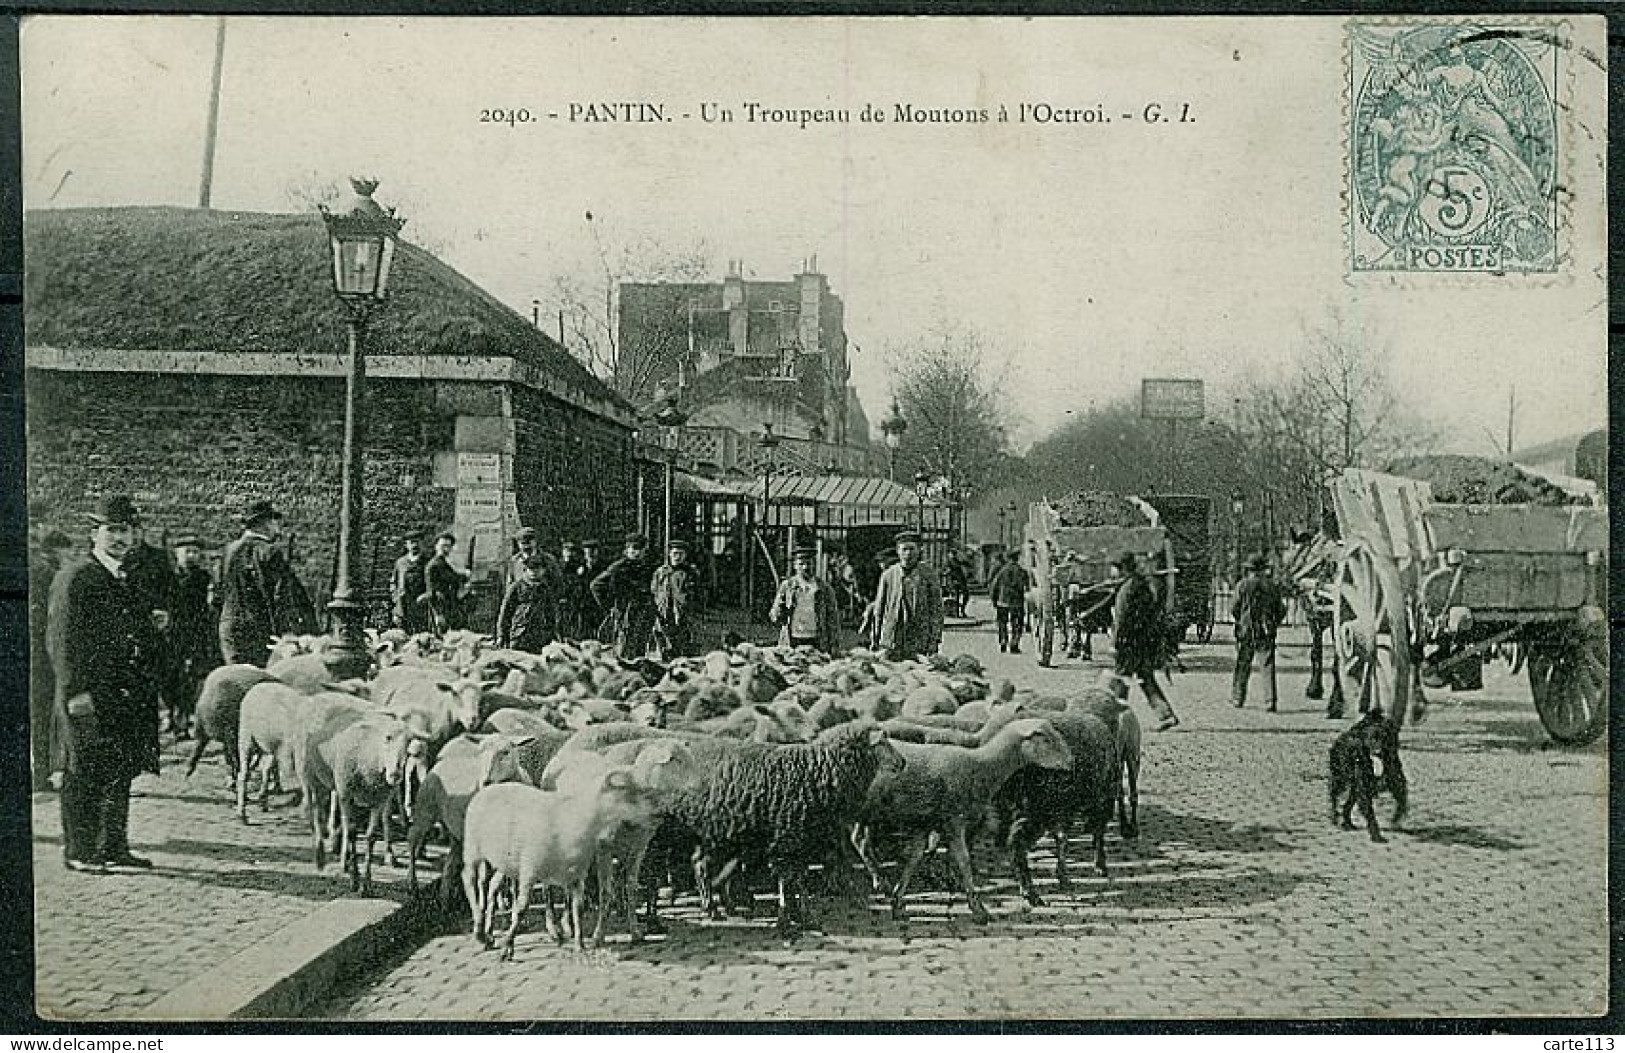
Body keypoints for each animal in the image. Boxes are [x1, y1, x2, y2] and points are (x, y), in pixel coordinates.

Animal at [1332, 711, 1410, 845]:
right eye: (1372, 739)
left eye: (1385, 738)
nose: (1378, 751)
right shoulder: (1363, 785)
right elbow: (1369, 811)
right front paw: (1376, 835)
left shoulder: (1393, 775)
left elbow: (1401, 797)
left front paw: (1396, 819)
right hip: (1339, 779)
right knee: (1334, 796)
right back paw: (1335, 818)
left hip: (1353, 787)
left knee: (1348, 804)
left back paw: (1348, 824)